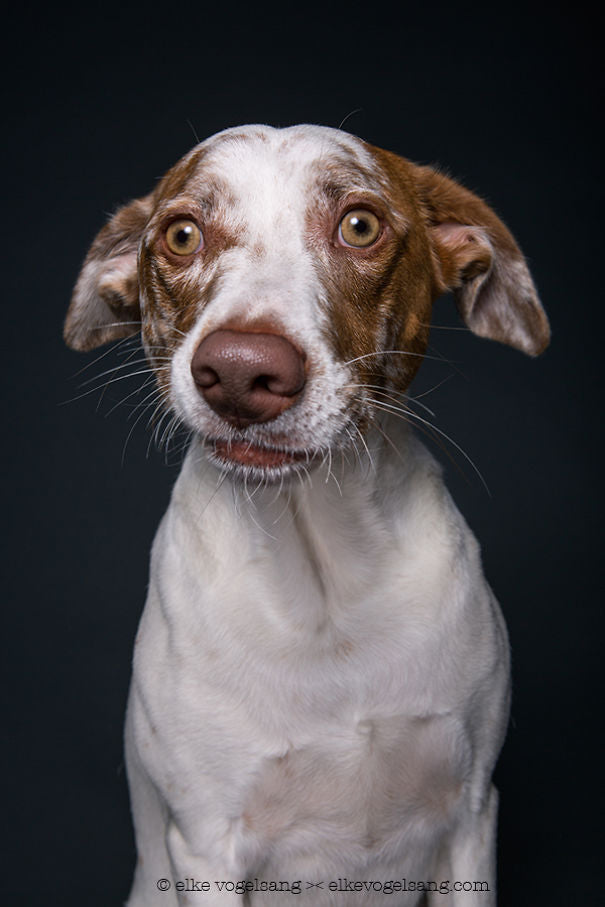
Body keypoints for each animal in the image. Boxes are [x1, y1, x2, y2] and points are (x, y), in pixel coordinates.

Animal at [65, 124, 548, 904]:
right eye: (180, 234)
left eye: (360, 225)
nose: (239, 372)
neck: (324, 577)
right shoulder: (205, 847)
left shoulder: (472, 816)